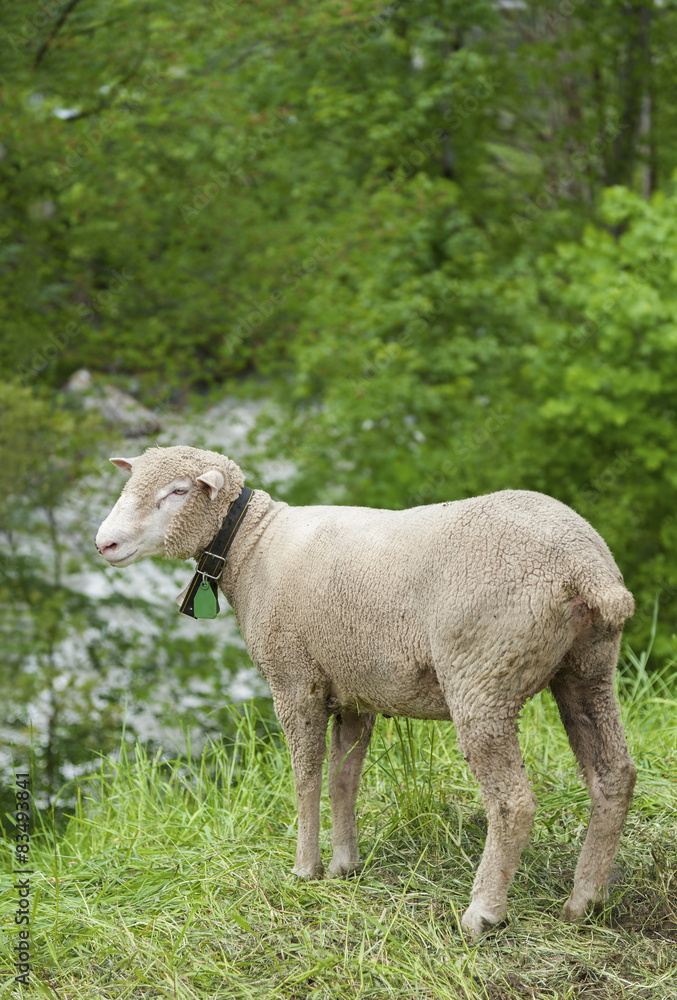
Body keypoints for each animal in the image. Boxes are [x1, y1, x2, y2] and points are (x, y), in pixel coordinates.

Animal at [95, 444, 637, 938]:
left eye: (178, 492)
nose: (105, 544)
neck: (254, 544)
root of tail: (585, 567)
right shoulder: (355, 690)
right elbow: (344, 778)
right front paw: (344, 865)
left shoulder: (295, 681)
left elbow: (306, 778)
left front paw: (305, 869)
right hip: (586, 670)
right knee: (614, 776)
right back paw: (585, 901)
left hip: (484, 674)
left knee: (513, 803)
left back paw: (483, 913)